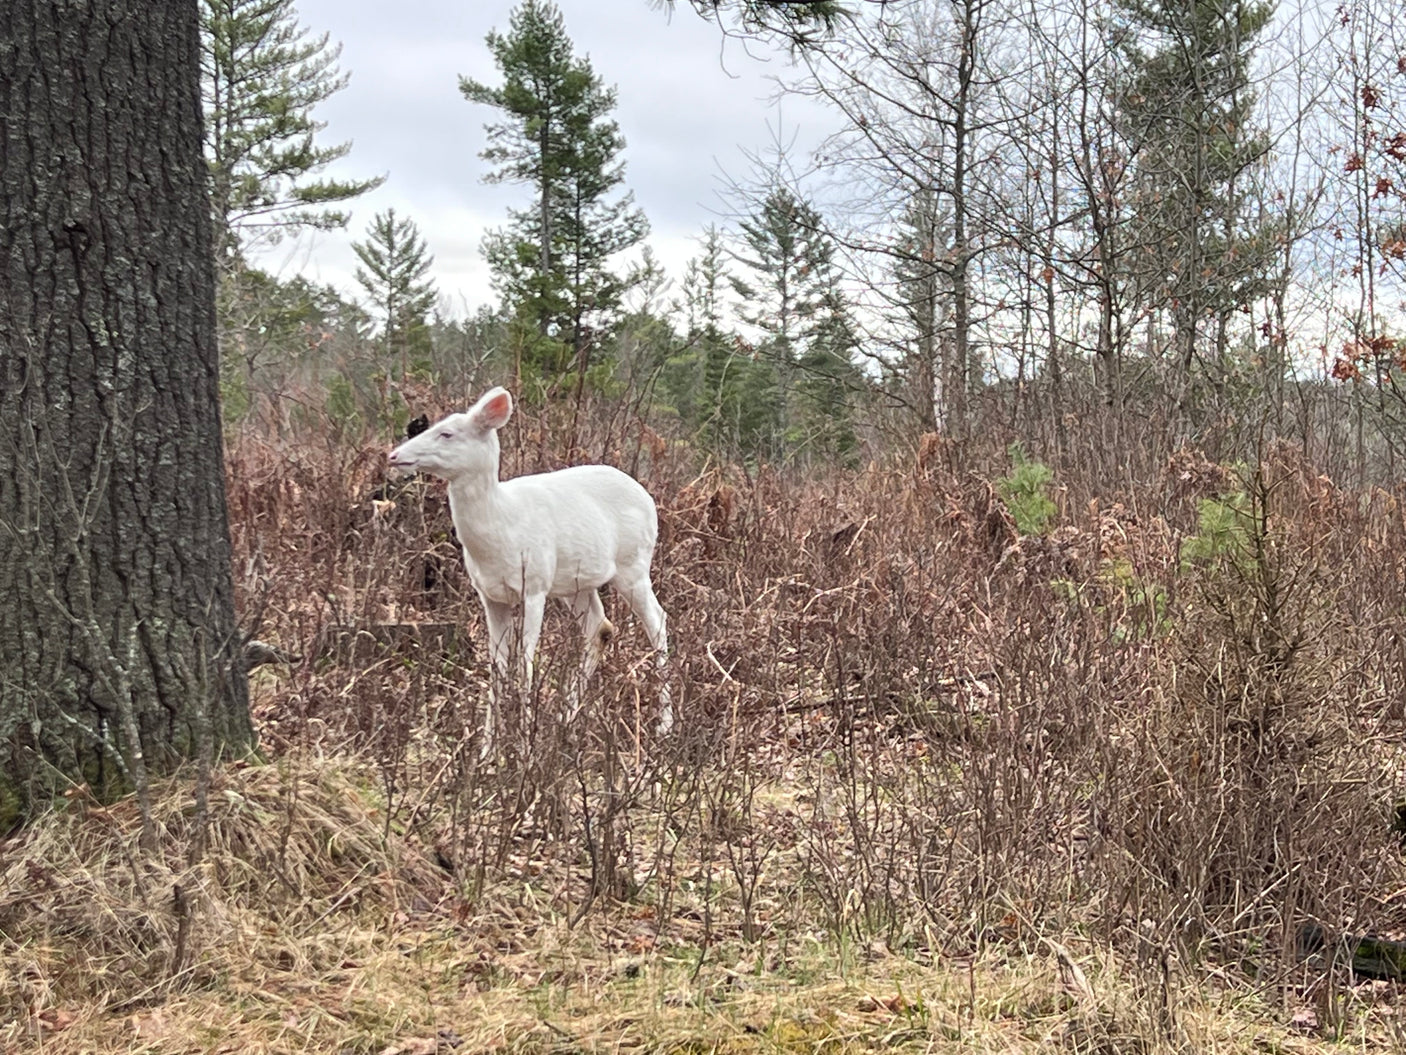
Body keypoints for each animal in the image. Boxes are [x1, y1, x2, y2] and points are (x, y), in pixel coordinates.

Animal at [387, 387, 671, 750]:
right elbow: (497, 667)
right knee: (601, 627)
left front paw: (523, 746)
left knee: (657, 622)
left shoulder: (534, 586)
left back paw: (664, 726)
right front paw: (487, 750)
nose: (395, 455)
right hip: (575, 583)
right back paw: (565, 719)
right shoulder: (491, 596)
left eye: (447, 433)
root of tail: (648, 498)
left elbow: (524, 663)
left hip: (632, 564)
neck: (501, 527)